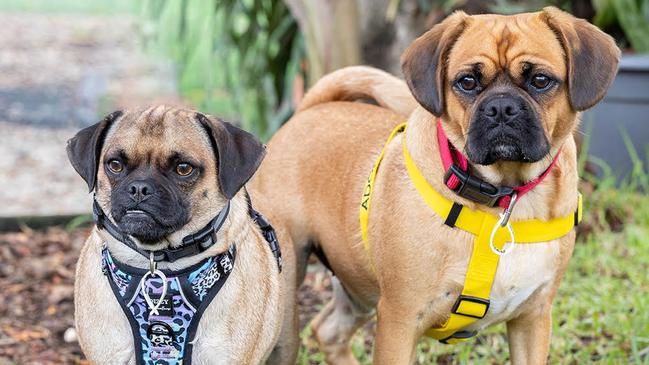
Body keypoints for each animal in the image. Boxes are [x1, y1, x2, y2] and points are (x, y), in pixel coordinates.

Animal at [252, 6, 616, 364]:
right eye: (467, 82)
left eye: (540, 80)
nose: (501, 107)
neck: (505, 199)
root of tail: (308, 110)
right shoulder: (399, 322)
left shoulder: (533, 318)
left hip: (355, 286)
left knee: (329, 331)